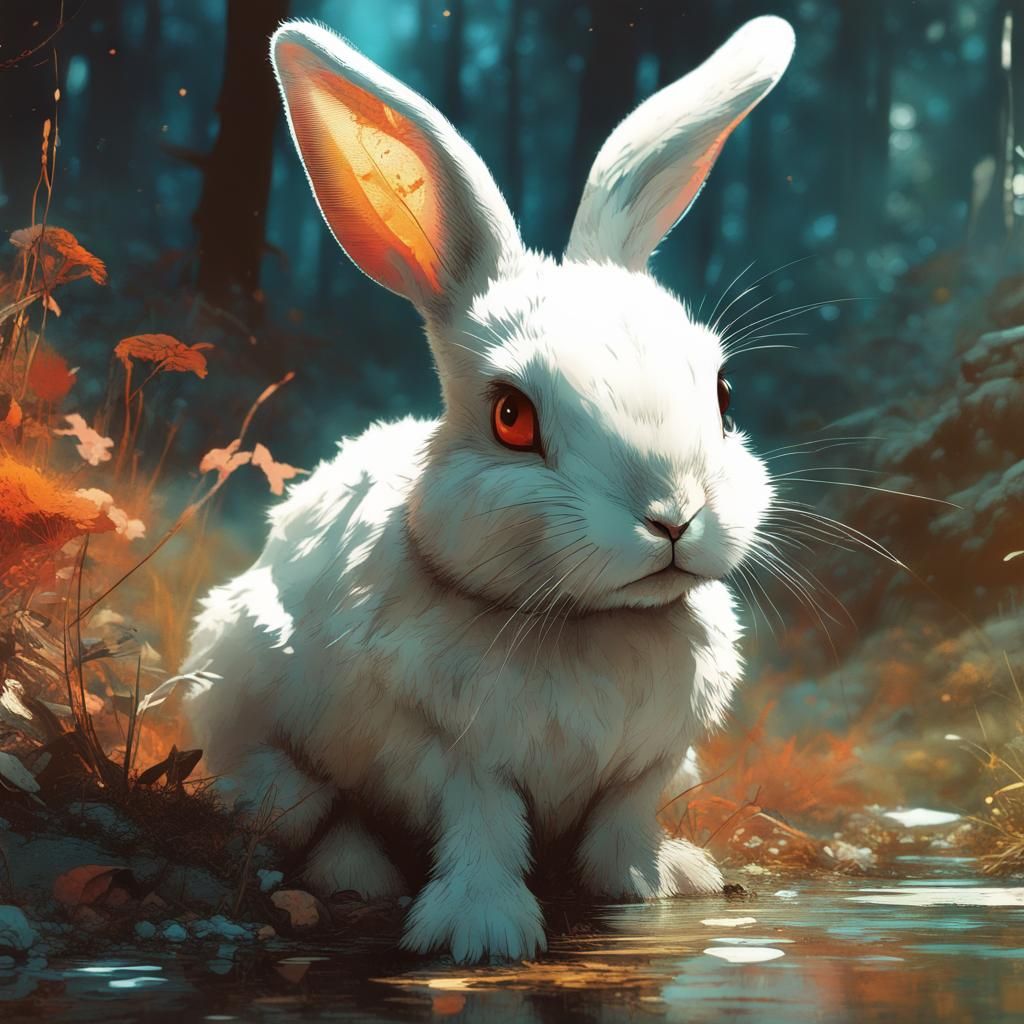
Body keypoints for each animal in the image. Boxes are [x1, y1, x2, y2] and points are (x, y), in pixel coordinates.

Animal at [180, 15, 793, 964]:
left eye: (724, 395)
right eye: (511, 416)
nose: (674, 518)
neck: (586, 623)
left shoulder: (648, 765)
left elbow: (621, 828)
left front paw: (654, 889)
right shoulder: (449, 756)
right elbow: (483, 829)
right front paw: (481, 934)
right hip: (241, 682)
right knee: (308, 806)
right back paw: (353, 870)